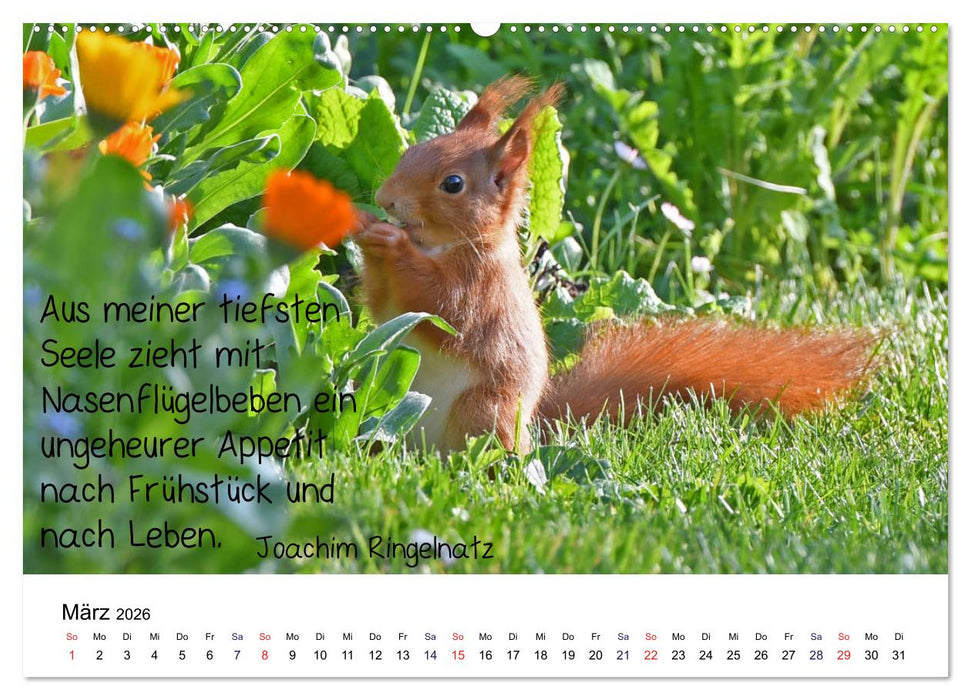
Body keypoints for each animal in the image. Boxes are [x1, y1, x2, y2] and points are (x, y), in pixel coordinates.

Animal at [353, 76, 874, 454]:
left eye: (453, 184)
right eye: (412, 150)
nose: (386, 198)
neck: (447, 249)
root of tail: (531, 430)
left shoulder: (483, 294)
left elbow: (445, 310)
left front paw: (391, 245)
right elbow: (386, 309)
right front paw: (367, 234)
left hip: (483, 410)